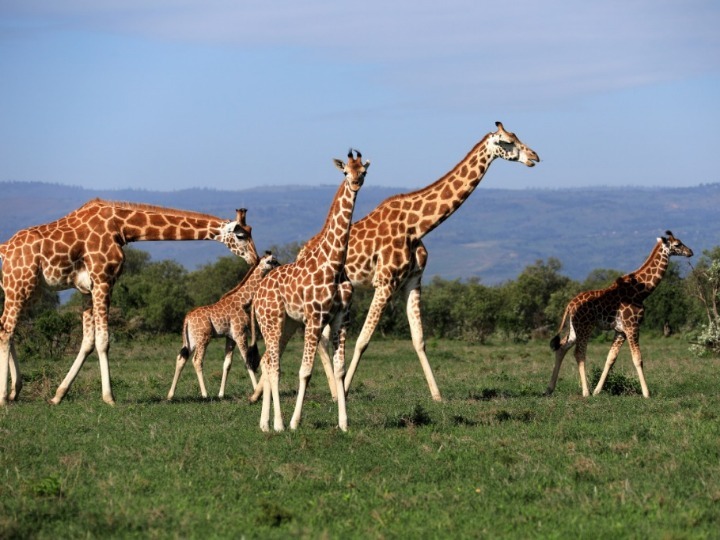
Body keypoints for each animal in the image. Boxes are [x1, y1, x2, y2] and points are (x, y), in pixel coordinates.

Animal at [0, 199, 258, 404]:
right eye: (241, 235)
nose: (254, 259)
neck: (122, 227)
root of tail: (5, 248)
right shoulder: (104, 280)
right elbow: (103, 341)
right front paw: (109, 397)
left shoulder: (86, 289)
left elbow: (87, 341)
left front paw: (58, 395)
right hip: (19, 285)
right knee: (6, 329)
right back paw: (4, 397)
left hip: (28, 289)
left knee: (8, 328)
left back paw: (15, 391)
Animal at [167, 251, 280, 398]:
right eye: (271, 261)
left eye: (275, 260)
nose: (279, 265)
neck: (243, 301)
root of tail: (187, 319)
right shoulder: (240, 333)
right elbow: (247, 360)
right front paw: (256, 391)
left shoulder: (230, 337)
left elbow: (227, 364)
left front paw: (221, 394)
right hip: (203, 338)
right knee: (197, 361)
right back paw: (205, 394)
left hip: (191, 340)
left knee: (181, 359)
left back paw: (170, 395)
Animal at [252, 150, 368, 432]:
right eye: (345, 172)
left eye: (364, 171)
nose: (356, 183)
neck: (335, 264)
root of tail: (258, 292)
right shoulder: (315, 318)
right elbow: (305, 371)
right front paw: (295, 422)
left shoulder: (341, 319)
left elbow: (340, 370)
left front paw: (344, 422)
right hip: (271, 321)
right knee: (274, 367)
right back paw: (278, 424)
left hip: (287, 324)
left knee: (267, 362)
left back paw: (264, 423)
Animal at [304, 122, 540, 400]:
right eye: (506, 141)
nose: (534, 157)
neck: (417, 226)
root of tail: (301, 250)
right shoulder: (385, 282)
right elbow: (363, 340)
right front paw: (348, 389)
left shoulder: (413, 281)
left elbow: (419, 339)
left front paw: (437, 395)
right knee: (321, 336)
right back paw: (335, 390)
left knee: (323, 335)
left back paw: (333, 390)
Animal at [548, 230, 696, 398]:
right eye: (677, 244)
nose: (690, 251)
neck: (641, 292)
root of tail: (569, 305)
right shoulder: (632, 326)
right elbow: (638, 358)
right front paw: (646, 393)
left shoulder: (620, 330)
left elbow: (610, 358)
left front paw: (598, 390)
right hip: (585, 327)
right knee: (578, 353)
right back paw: (585, 391)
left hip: (575, 328)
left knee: (561, 347)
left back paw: (549, 389)